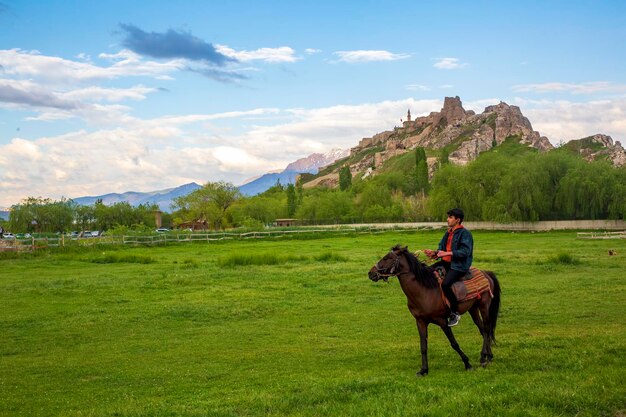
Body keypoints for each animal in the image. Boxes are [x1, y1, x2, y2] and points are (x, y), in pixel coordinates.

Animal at [368, 245, 500, 376]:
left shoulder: (443, 322)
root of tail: (486, 273)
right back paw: (489, 357)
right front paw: (424, 370)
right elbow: (423, 346)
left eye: (387, 258)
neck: (424, 290)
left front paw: (467, 364)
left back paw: (483, 357)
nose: (371, 273)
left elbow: (454, 343)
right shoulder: (420, 321)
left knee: (486, 329)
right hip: (473, 309)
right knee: (482, 329)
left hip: (484, 305)